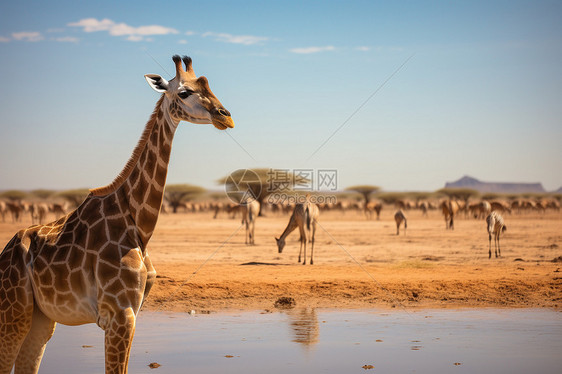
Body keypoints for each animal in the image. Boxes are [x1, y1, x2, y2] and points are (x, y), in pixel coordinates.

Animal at [0, 54, 232, 374]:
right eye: (184, 92)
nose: (226, 117)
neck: (139, 224)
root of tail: (5, 251)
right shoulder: (119, 313)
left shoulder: (133, 311)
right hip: (14, 310)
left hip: (41, 316)